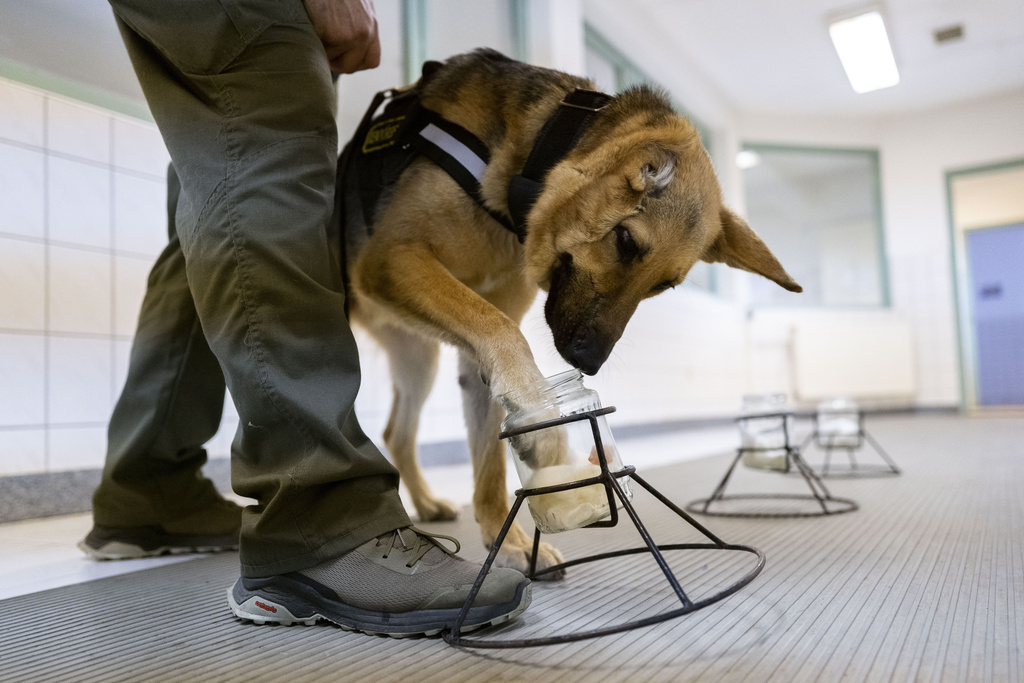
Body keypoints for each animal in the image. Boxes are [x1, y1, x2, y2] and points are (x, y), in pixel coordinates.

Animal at [344, 50, 798, 581]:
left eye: (664, 286)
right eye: (626, 242)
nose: (589, 362)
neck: (526, 156)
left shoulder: (474, 342)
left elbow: (490, 458)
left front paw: (509, 540)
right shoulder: (391, 260)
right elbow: (503, 333)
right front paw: (544, 428)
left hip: (419, 359)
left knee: (396, 432)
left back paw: (425, 503)